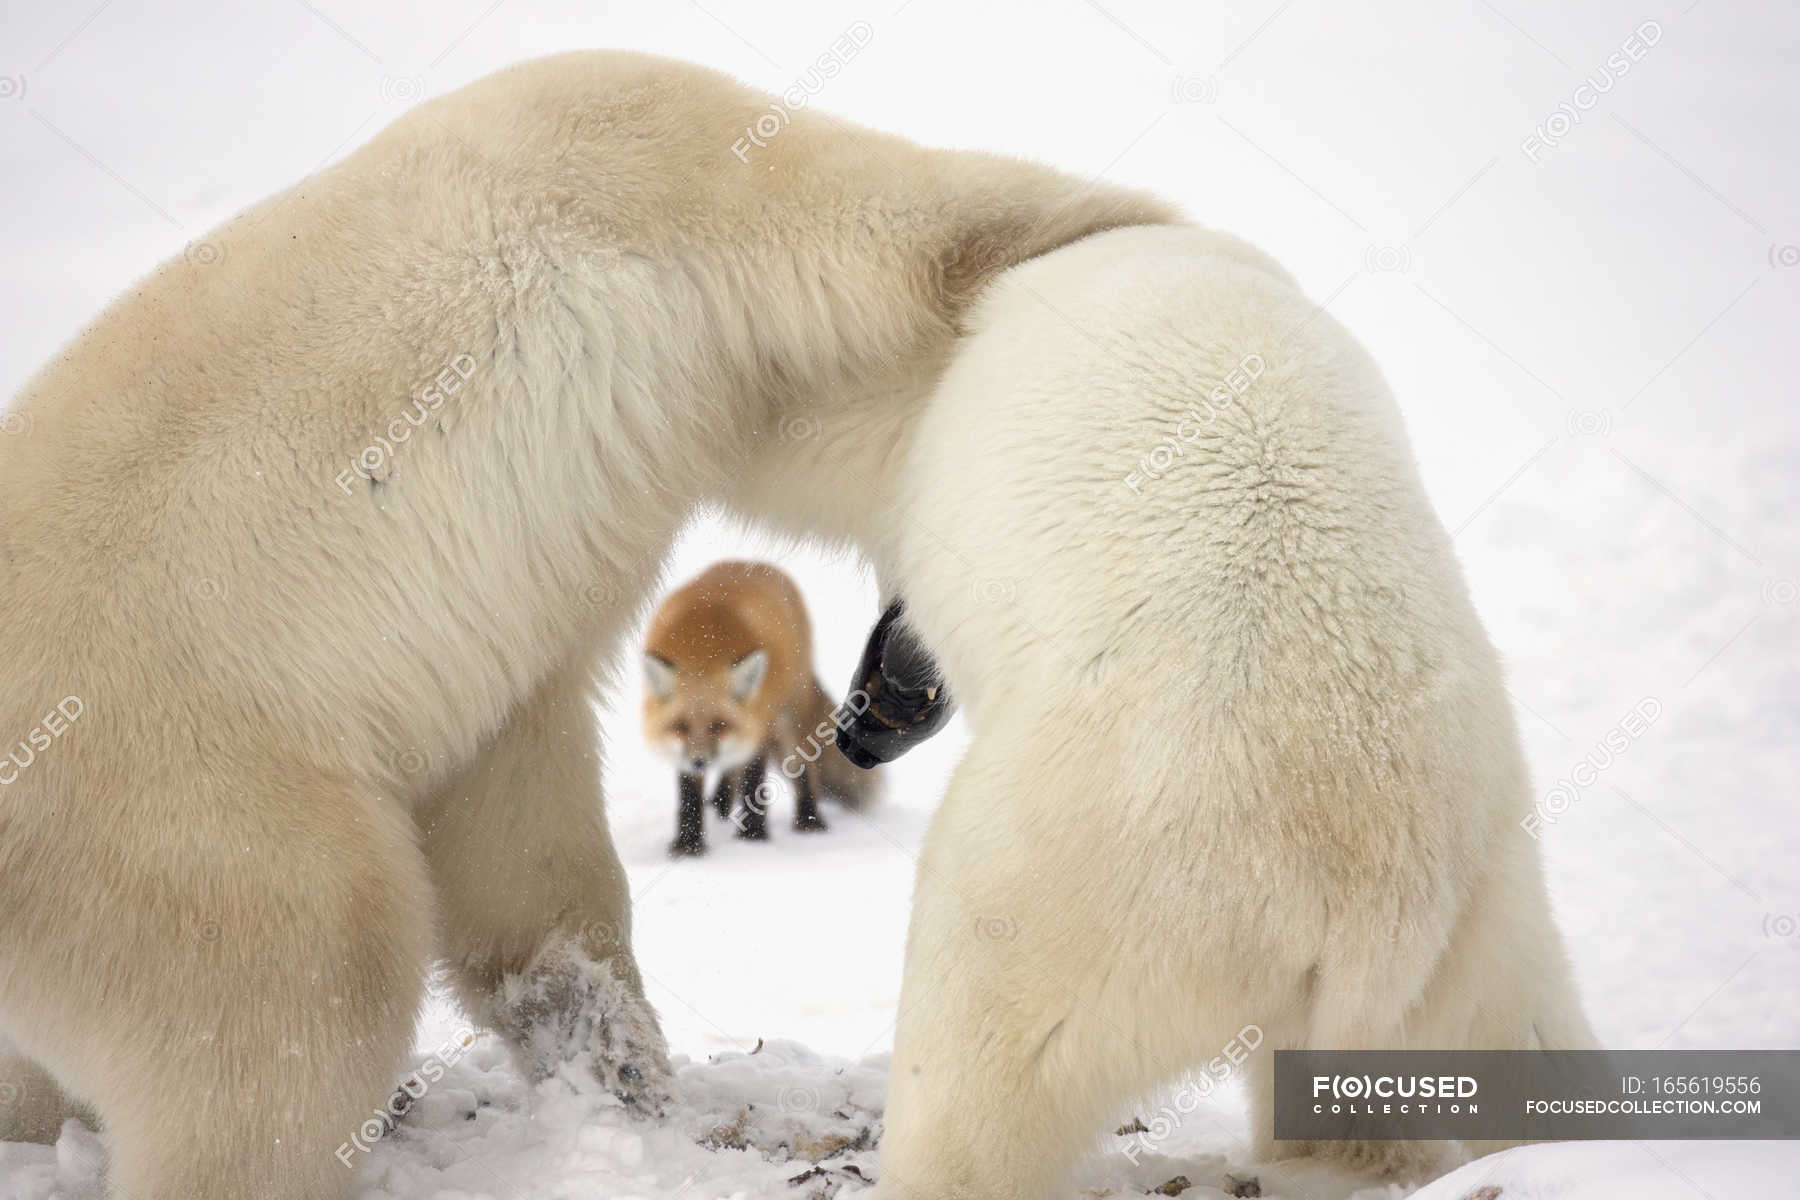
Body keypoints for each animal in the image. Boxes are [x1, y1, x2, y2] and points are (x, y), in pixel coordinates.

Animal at [644, 564, 874, 852]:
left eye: (719, 725)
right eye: (680, 726)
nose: (700, 761)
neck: (703, 644)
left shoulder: (759, 725)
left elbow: (753, 780)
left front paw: (753, 836)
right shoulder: (685, 749)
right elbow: (689, 794)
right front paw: (689, 846)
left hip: (789, 721)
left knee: (803, 768)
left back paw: (809, 821)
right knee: (730, 770)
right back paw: (720, 805)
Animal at [738, 224, 1598, 1194]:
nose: (863, 727)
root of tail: (1372, 882)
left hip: (1092, 887)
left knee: (977, 1056)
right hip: (1486, 921)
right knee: (1523, 1046)